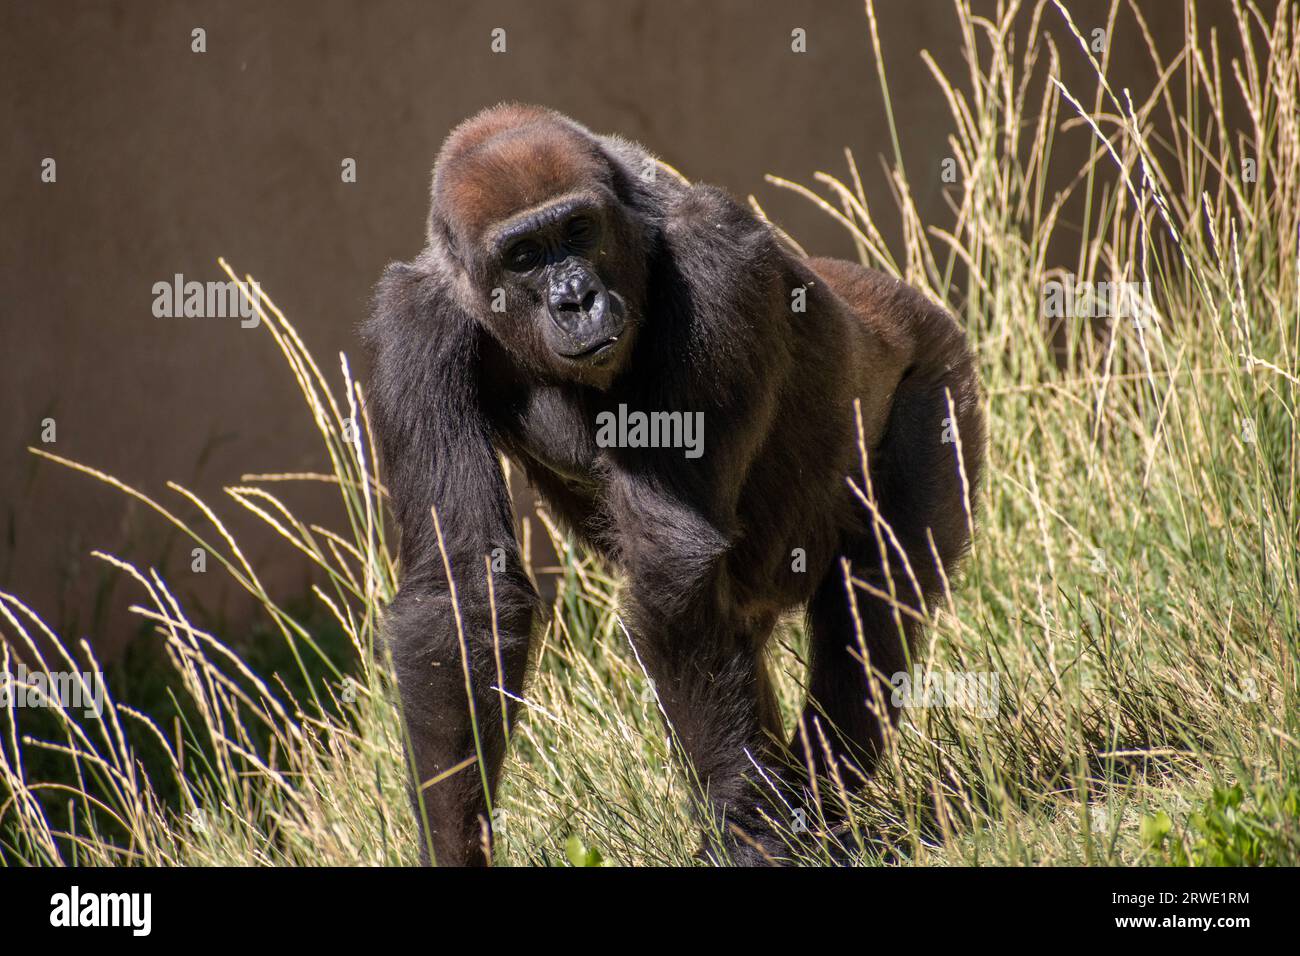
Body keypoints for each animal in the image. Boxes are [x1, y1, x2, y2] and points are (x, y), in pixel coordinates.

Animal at [361, 104, 977, 868]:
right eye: (524, 256)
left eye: (578, 231)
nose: (577, 299)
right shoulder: (411, 326)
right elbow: (464, 589)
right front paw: (457, 849)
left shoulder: (717, 258)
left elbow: (672, 558)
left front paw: (748, 834)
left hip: (937, 379)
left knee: (874, 597)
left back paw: (824, 807)